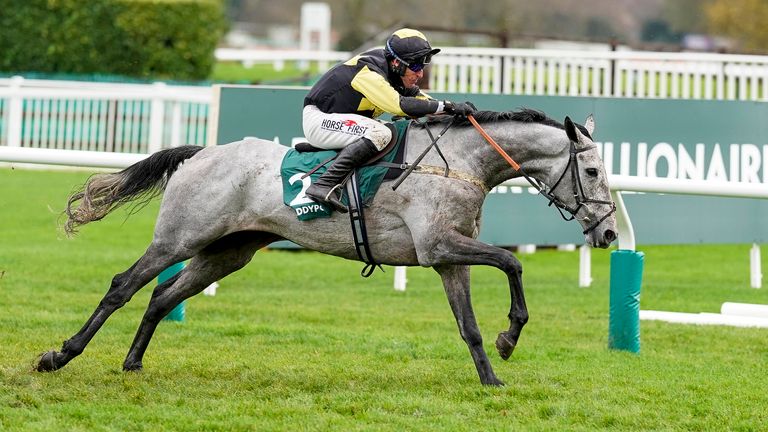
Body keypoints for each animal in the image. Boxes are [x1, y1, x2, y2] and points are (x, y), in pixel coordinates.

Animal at [35, 109, 617, 386]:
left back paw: (133, 363)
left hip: (228, 251)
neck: (460, 162)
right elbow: (512, 260)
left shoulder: (450, 257)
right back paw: (60, 355)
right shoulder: (438, 245)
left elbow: (469, 326)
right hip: (179, 237)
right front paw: (509, 338)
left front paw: (493, 371)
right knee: (124, 286)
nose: (609, 234)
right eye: (591, 171)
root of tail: (200, 153)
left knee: (161, 296)